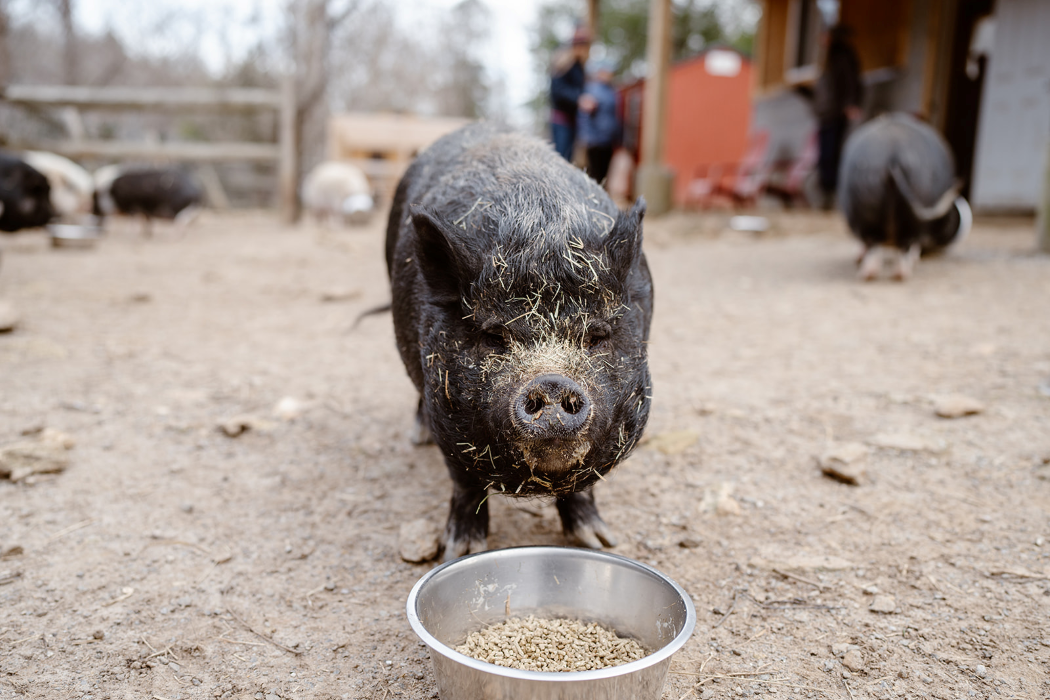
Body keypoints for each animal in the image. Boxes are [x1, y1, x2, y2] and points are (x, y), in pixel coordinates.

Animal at [386, 122, 653, 560]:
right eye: (494, 335)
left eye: (597, 334)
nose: (552, 382)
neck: (540, 234)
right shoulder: (446, 414)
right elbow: (464, 482)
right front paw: (460, 551)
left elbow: (584, 486)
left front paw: (600, 541)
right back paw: (416, 437)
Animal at [839, 113, 972, 281]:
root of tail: (894, 156)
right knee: (901, 243)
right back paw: (897, 273)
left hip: (866, 204)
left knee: (875, 242)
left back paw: (872, 273)